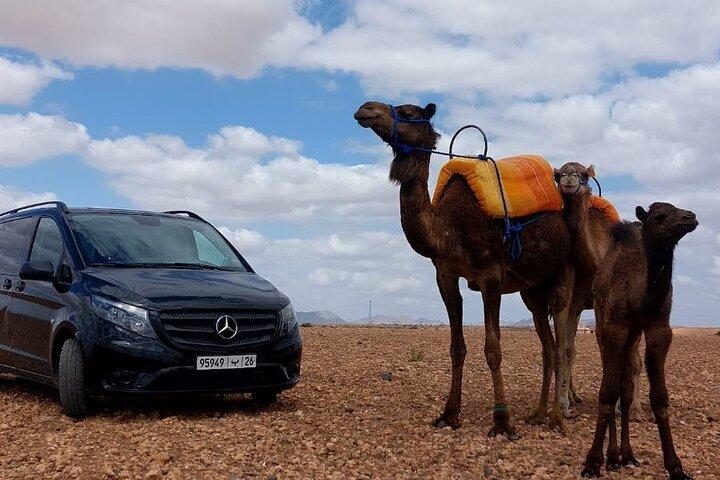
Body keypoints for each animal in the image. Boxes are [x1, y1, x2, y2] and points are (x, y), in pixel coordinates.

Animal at [354, 101, 572, 437]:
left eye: (409, 111)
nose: (365, 109)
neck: (449, 229)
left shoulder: (491, 278)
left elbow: (493, 349)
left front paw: (502, 421)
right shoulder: (445, 276)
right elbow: (457, 347)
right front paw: (449, 414)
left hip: (562, 273)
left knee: (561, 344)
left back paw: (557, 419)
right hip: (532, 291)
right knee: (547, 346)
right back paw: (537, 413)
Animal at [553, 162, 642, 421]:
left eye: (584, 174)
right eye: (558, 175)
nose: (569, 178)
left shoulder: (604, 301)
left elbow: (606, 345)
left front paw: (617, 405)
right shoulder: (574, 301)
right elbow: (568, 348)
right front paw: (564, 405)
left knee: (634, 356)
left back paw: (634, 408)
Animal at [582, 202, 697, 480]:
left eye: (677, 207)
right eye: (659, 216)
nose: (691, 217)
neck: (640, 297)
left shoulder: (659, 328)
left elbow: (659, 397)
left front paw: (675, 466)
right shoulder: (614, 326)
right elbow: (607, 392)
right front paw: (592, 462)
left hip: (632, 335)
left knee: (625, 387)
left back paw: (627, 455)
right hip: (602, 322)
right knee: (613, 384)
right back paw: (612, 457)